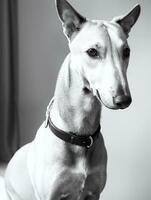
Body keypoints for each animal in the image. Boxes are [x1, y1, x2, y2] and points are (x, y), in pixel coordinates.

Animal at [3, 0, 140, 200]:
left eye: (126, 51)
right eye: (92, 51)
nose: (124, 99)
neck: (79, 134)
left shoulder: (94, 194)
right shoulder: (50, 196)